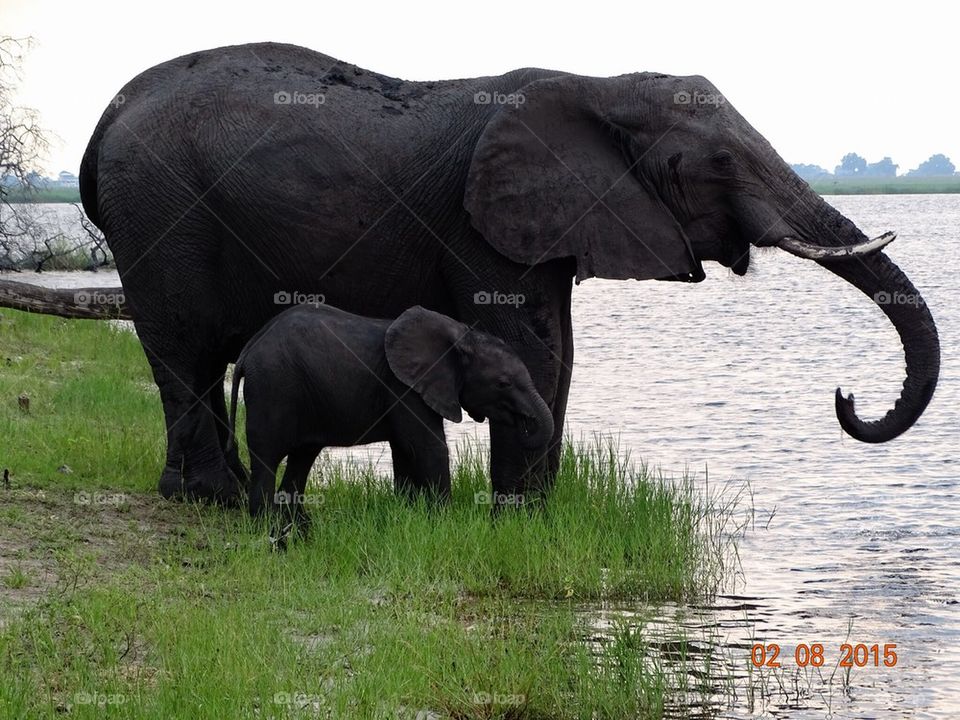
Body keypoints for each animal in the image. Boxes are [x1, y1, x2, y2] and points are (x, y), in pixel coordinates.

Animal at [227, 300, 556, 524]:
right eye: (503, 383)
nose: (525, 423)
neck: (461, 337)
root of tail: (246, 352)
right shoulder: (403, 387)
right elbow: (427, 447)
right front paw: (445, 520)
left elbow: (405, 449)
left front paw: (412, 514)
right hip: (272, 387)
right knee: (267, 457)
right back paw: (267, 527)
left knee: (302, 457)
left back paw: (299, 527)